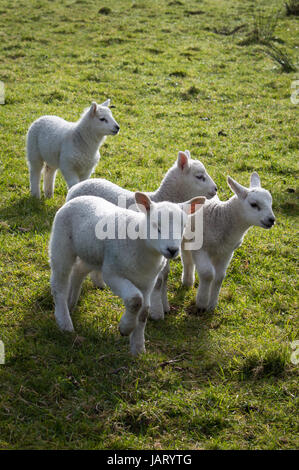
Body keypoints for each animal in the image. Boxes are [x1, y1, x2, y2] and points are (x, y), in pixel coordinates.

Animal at [50, 190, 205, 352]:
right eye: (156, 226)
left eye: (184, 227)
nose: (173, 250)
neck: (142, 245)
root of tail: (78, 198)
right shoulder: (111, 273)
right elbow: (135, 300)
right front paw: (125, 328)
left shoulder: (148, 281)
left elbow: (144, 311)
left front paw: (138, 348)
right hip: (61, 245)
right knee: (59, 284)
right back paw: (64, 322)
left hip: (92, 255)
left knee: (78, 271)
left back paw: (71, 303)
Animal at [66, 151, 218, 320]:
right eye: (199, 176)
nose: (216, 189)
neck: (160, 198)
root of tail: (77, 186)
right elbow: (158, 282)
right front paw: (157, 312)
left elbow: (164, 277)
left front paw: (165, 306)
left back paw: (99, 282)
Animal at [180, 173, 276, 312]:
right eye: (253, 204)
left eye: (271, 203)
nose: (271, 220)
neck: (221, 218)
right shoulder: (200, 248)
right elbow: (208, 274)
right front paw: (202, 302)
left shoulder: (227, 252)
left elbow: (219, 277)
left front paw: (212, 304)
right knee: (186, 258)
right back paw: (187, 282)